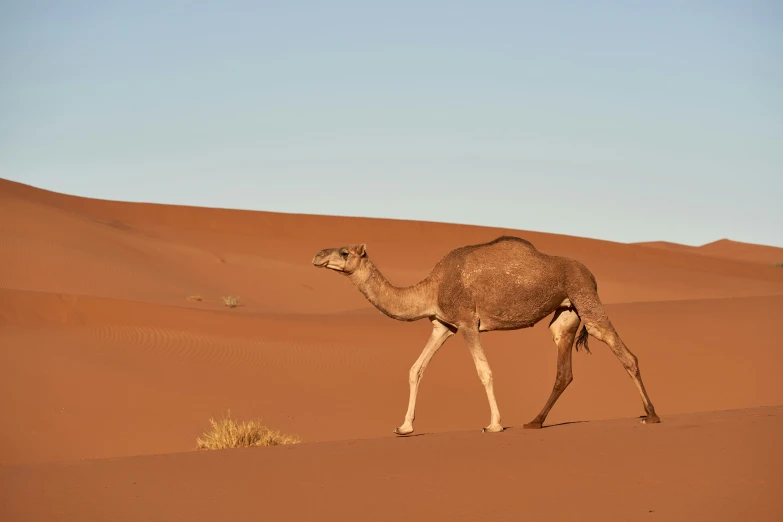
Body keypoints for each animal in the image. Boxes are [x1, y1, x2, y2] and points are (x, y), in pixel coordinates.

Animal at [312, 234, 660, 432]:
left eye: (345, 253)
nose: (317, 255)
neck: (431, 288)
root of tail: (591, 273)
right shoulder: (444, 326)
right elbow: (416, 369)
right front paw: (404, 427)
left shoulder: (468, 323)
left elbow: (484, 371)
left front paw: (494, 424)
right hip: (566, 312)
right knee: (564, 369)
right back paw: (534, 422)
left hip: (584, 295)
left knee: (624, 352)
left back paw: (652, 415)